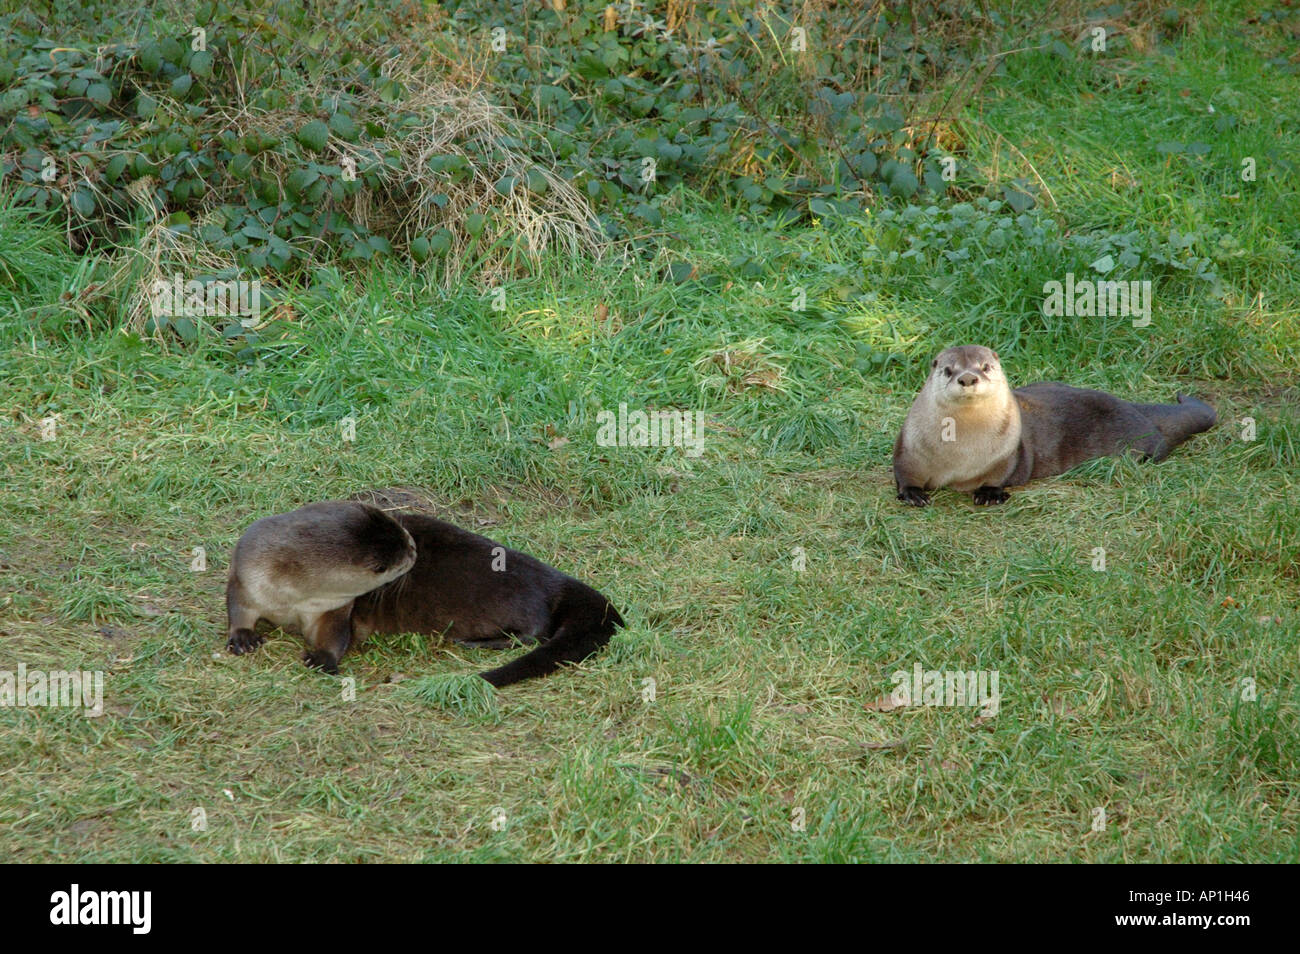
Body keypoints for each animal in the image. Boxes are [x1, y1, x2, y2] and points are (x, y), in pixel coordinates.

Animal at [226, 501, 623, 686]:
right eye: (383, 565)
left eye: (399, 530)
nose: (414, 548)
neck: (290, 593)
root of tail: (554, 579)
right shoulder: (246, 573)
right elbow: (238, 608)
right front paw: (243, 637)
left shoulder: (335, 608)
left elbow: (334, 635)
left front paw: (321, 658)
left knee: (533, 633)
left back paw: (475, 643)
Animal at [893, 345, 1217, 506]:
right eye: (949, 370)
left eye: (985, 367)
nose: (968, 377)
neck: (961, 452)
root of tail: (1132, 406)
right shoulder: (910, 447)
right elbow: (903, 471)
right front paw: (913, 494)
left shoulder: (1009, 454)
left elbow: (1004, 475)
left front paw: (990, 493)